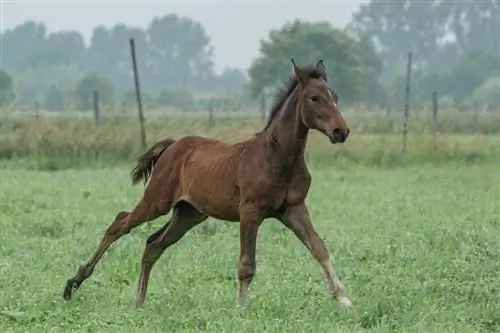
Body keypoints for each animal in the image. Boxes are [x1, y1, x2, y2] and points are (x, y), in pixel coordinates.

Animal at [62, 58, 352, 308]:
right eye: (315, 98)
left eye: (336, 97)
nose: (341, 131)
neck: (278, 156)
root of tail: (171, 147)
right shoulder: (251, 211)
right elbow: (246, 265)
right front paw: (239, 309)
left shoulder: (293, 209)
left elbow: (320, 249)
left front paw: (345, 300)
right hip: (157, 201)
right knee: (119, 223)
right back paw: (74, 282)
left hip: (189, 213)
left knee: (153, 244)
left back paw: (140, 301)